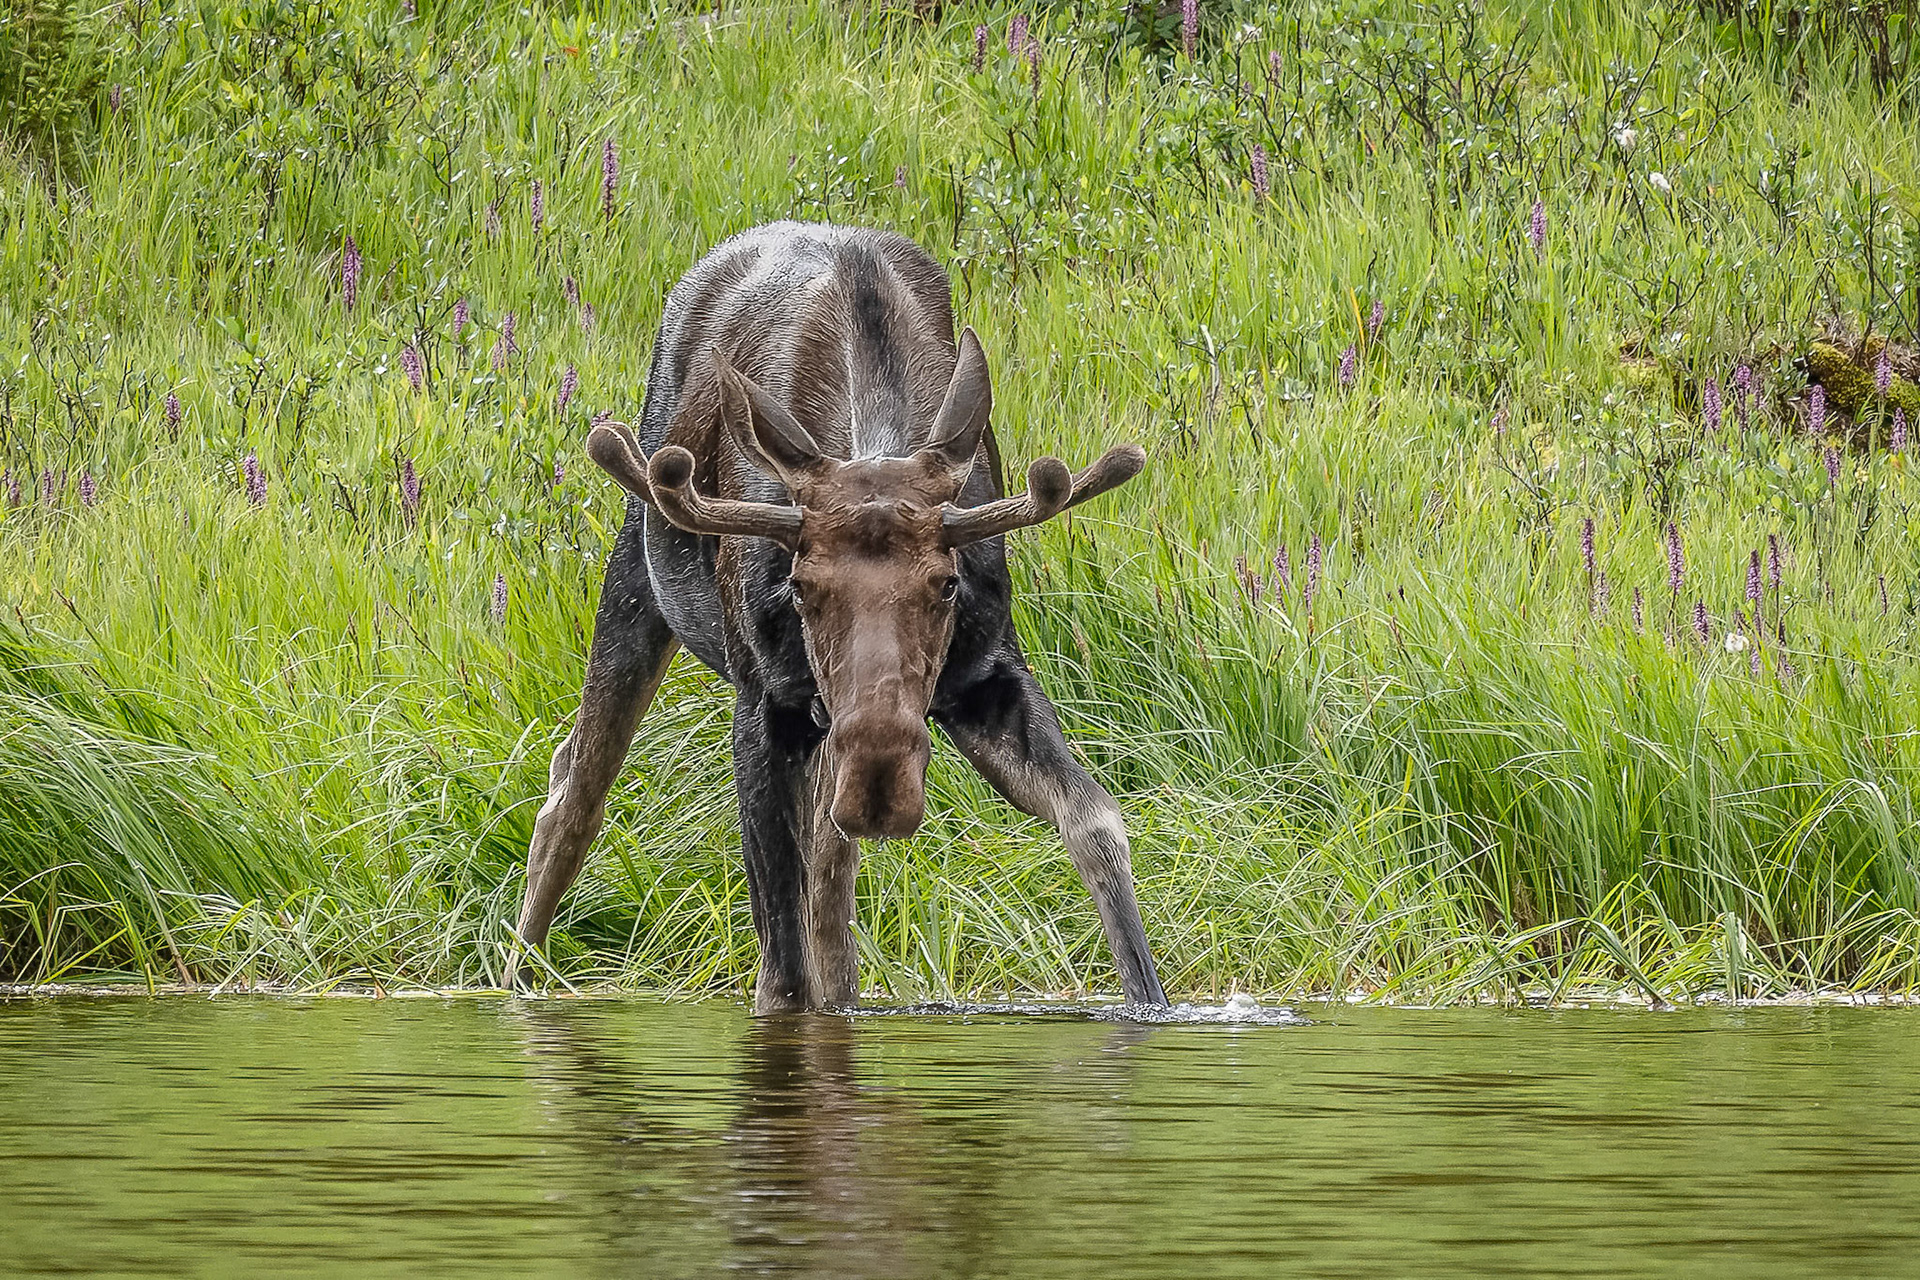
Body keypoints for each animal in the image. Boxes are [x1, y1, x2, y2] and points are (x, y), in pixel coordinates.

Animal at [515, 221, 1168, 1013]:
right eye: (800, 587)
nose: (881, 783)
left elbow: (1095, 822)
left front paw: (1151, 1002)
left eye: (947, 585)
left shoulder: (985, 675)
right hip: (636, 585)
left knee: (831, 885)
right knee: (573, 789)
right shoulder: (763, 703)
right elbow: (780, 975)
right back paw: (516, 979)